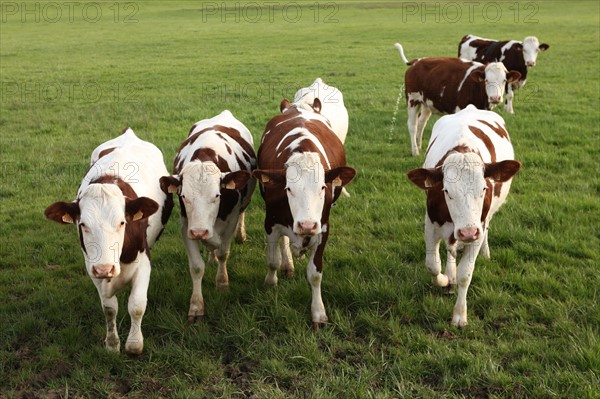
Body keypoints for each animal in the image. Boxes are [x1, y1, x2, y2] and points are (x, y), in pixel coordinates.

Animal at [43, 129, 171, 356]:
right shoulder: (92, 267)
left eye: (122, 222)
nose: (105, 269)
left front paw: (134, 345)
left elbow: (137, 305)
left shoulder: (144, 261)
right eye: (82, 224)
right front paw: (112, 344)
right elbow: (109, 308)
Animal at [158, 111, 254, 324]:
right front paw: (196, 308)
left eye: (217, 195)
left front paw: (222, 283)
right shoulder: (187, 226)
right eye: (183, 196)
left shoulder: (230, 220)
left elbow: (224, 253)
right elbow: (196, 267)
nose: (199, 231)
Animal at [251, 97, 354, 328]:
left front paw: (318, 312)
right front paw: (270, 282)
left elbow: (315, 274)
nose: (306, 225)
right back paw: (288, 264)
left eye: (323, 188)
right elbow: (272, 259)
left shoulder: (323, 228)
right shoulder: (270, 222)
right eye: (289, 188)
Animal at [408, 106, 520, 328]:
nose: (467, 232)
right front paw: (445, 280)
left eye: (484, 188)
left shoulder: (478, 228)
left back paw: (484, 252)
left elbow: (465, 275)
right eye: (446, 191)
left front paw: (460, 315)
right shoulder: (431, 223)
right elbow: (433, 266)